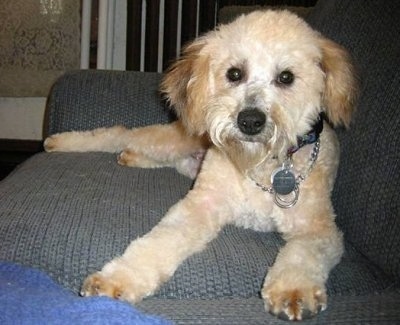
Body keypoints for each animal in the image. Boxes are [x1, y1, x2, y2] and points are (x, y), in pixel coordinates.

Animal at [45, 9, 358, 318]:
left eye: (286, 77)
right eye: (234, 73)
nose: (250, 121)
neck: (257, 166)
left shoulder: (320, 228)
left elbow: (302, 254)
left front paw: (293, 291)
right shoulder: (201, 205)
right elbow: (159, 241)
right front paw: (117, 278)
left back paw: (130, 157)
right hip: (177, 139)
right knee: (121, 134)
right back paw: (61, 142)